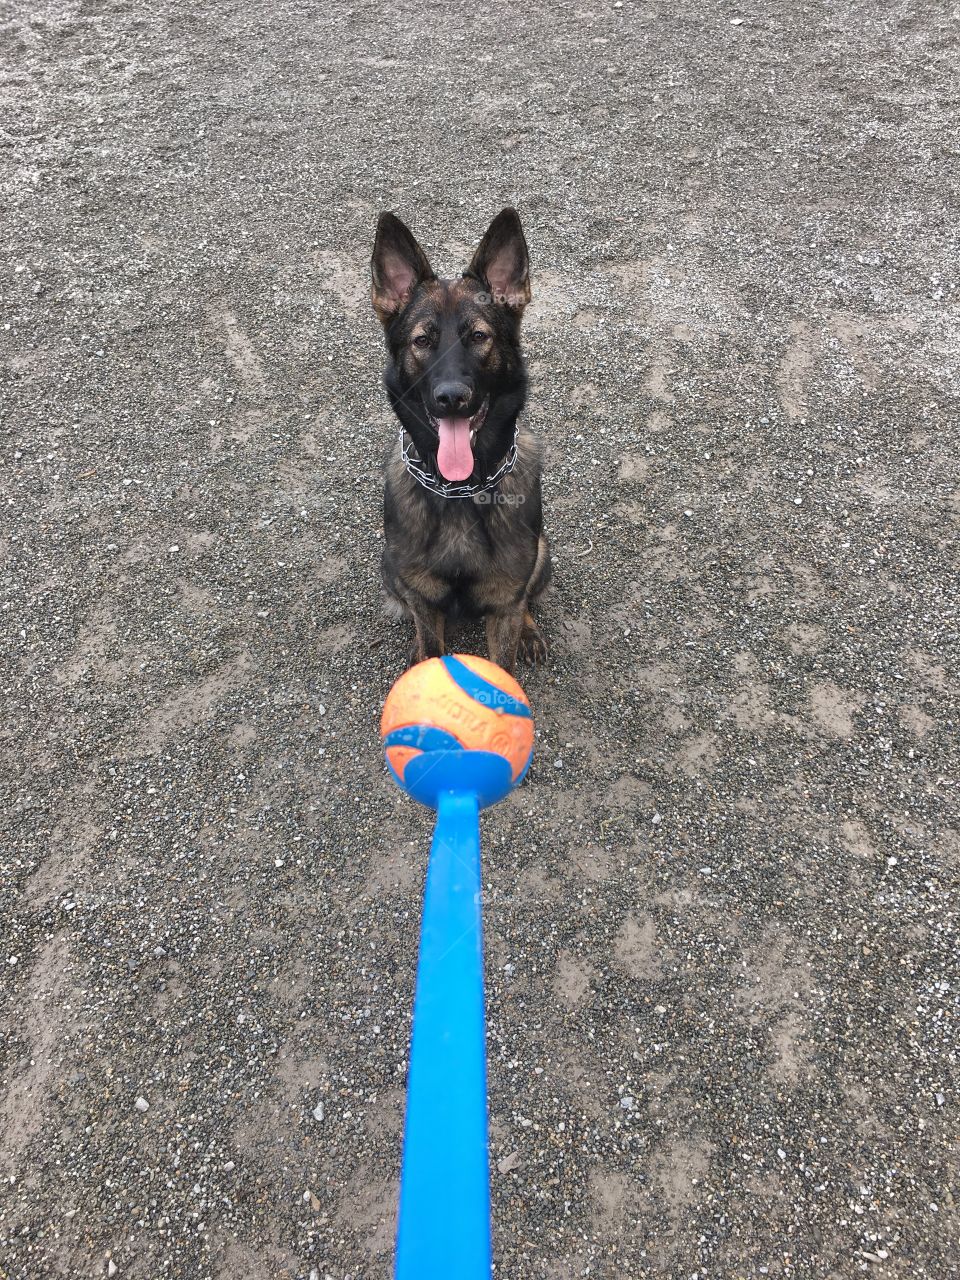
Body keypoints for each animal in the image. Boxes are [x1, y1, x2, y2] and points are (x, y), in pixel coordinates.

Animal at [371, 204, 552, 675]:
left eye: (478, 336)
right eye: (422, 340)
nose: (452, 397)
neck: (460, 490)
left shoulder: (504, 602)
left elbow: (505, 657)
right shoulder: (421, 597)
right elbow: (431, 641)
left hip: (541, 556)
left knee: (528, 600)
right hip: (390, 570)